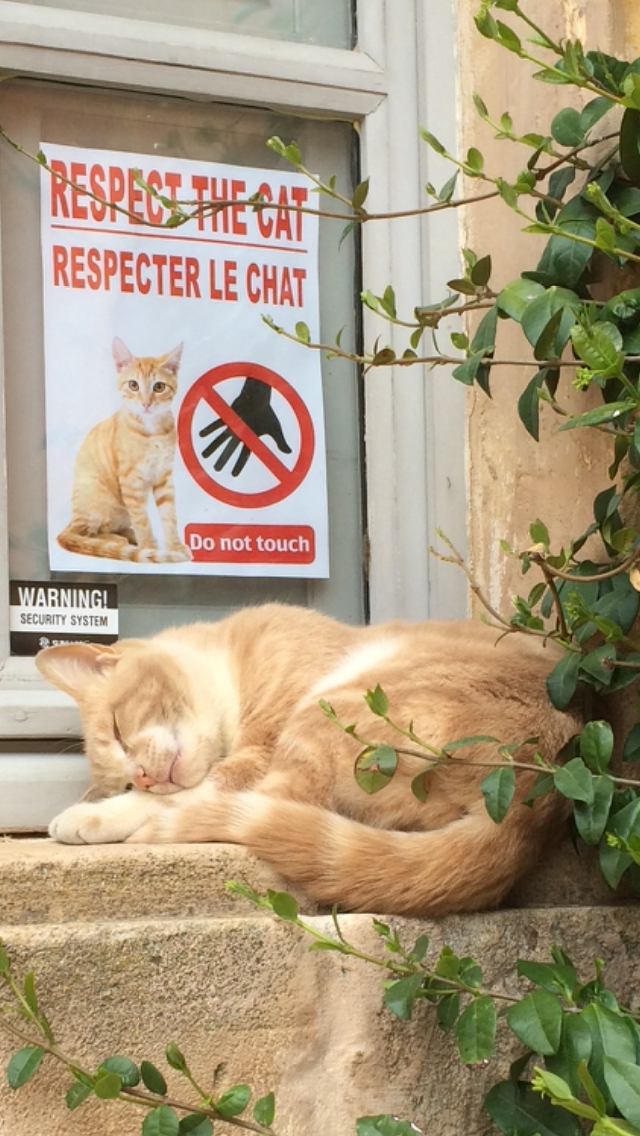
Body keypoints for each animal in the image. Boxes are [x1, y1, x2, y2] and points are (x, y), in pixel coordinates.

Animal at [35, 604, 581, 916]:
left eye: (118, 731)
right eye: (127, 782)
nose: (145, 779)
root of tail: (536, 797)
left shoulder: (260, 749)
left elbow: (191, 792)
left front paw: (87, 817)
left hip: (326, 712)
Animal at [56, 337, 190, 563]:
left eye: (159, 386)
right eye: (133, 385)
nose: (146, 403)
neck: (152, 433)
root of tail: (72, 520)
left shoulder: (164, 476)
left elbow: (169, 515)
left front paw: (174, 546)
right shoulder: (130, 480)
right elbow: (142, 519)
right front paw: (148, 547)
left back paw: (129, 535)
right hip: (97, 495)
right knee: (88, 533)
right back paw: (120, 541)